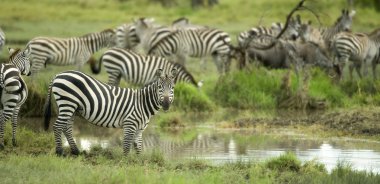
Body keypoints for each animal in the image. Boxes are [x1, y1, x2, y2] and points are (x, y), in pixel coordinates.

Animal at [43, 69, 178, 156]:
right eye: (160, 87)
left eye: (172, 88)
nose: (166, 104)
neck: (142, 103)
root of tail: (58, 74)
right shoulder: (129, 124)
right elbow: (127, 147)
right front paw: (125, 163)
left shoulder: (139, 129)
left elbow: (138, 148)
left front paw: (139, 164)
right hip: (67, 103)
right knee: (57, 126)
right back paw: (60, 153)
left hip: (72, 107)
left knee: (66, 128)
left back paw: (76, 152)